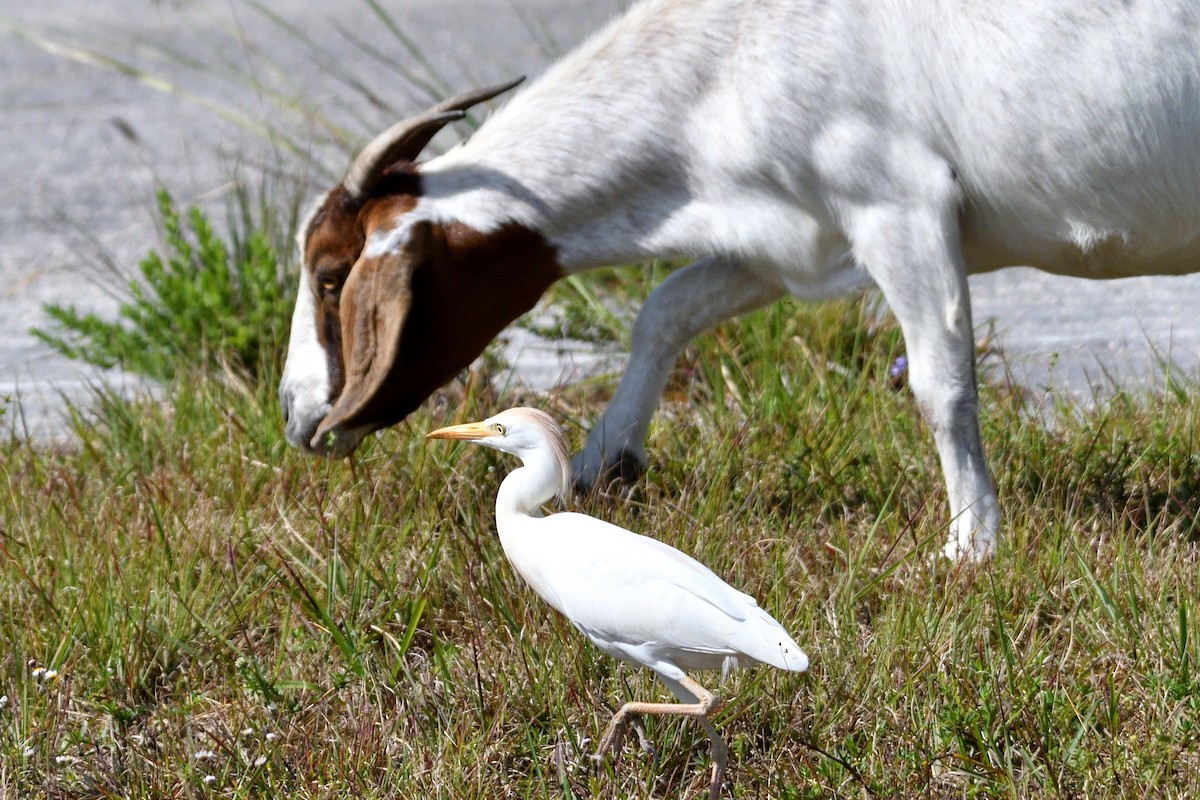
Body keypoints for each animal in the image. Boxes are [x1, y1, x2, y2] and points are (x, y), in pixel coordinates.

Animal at [276, 0, 1200, 561]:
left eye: (328, 276)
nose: (294, 413)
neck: (727, 59)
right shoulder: (796, 238)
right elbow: (666, 308)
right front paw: (601, 462)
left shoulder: (898, 203)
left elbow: (942, 385)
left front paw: (971, 545)